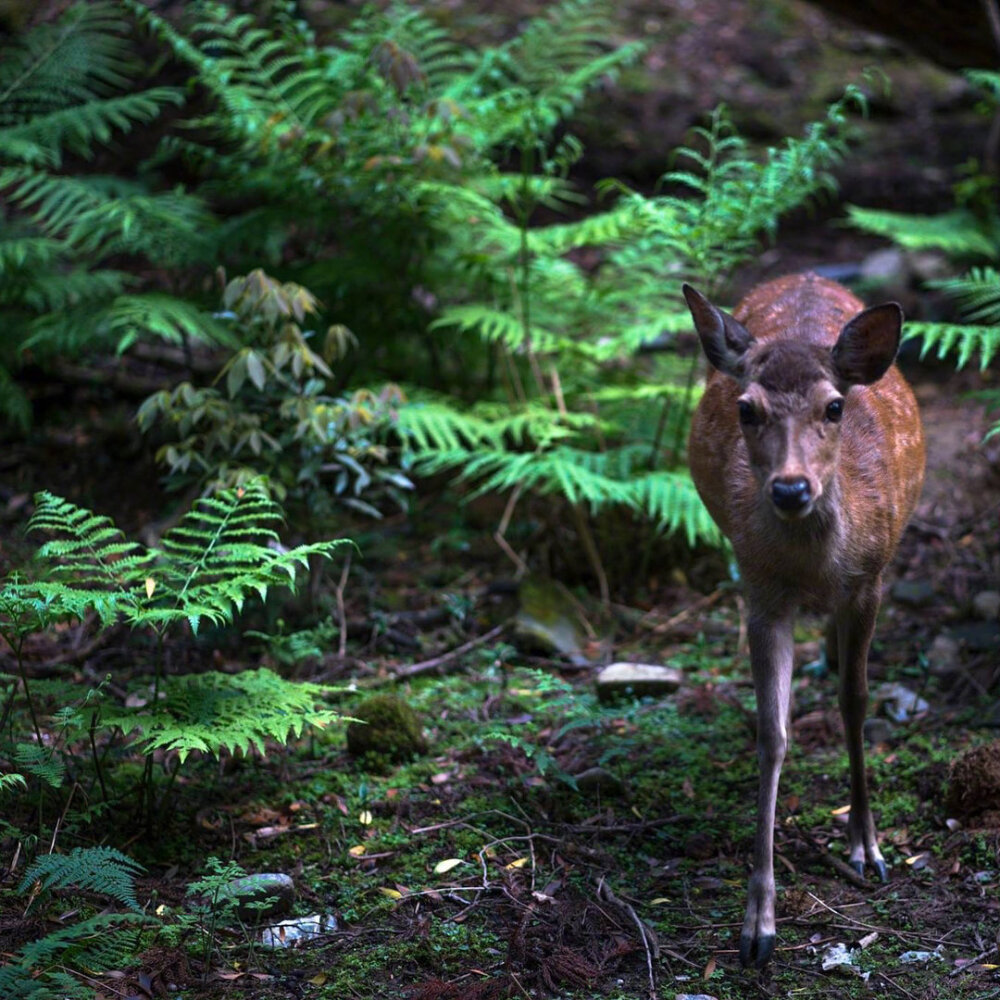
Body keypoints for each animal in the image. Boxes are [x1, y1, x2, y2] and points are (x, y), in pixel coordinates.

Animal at [684, 272, 924, 968]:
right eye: (746, 409)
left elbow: (855, 701)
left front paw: (868, 848)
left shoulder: (869, 581)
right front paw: (757, 925)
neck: (817, 567)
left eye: (834, 407)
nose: (791, 490)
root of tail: (807, 275)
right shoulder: (760, 592)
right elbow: (773, 732)